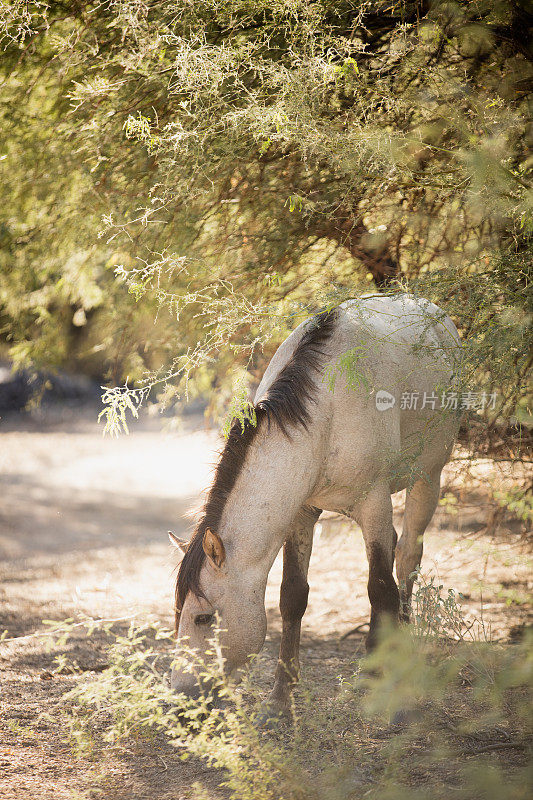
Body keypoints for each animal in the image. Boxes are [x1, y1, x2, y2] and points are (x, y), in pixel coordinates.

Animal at [171, 290, 462, 716]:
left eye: (205, 618)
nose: (180, 700)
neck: (325, 415)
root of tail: (436, 313)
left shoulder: (374, 502)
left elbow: (380, 588)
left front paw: (382, 684)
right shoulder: (301, 512)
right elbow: (292, 596)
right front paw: (280, 700)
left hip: (428, 475)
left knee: (407, 557)